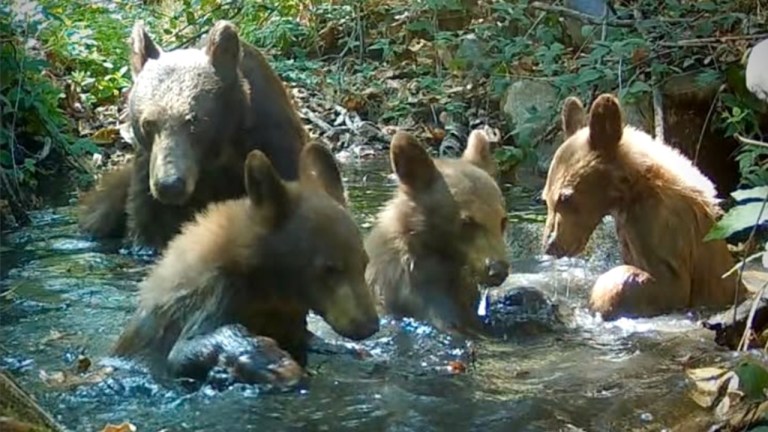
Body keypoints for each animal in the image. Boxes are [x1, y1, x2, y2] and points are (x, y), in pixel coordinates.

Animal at [78, 20, 307, 251]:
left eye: (194, 120)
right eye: (148, 123)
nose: (169, 185)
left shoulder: (272, 143)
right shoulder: (147, 167)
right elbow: (148, 224)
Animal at [112, 143, 380, 387]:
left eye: (364, 262)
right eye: (328, 269)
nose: (370, 326)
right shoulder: (213, 298)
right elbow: (183, 350)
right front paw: (269, 361)